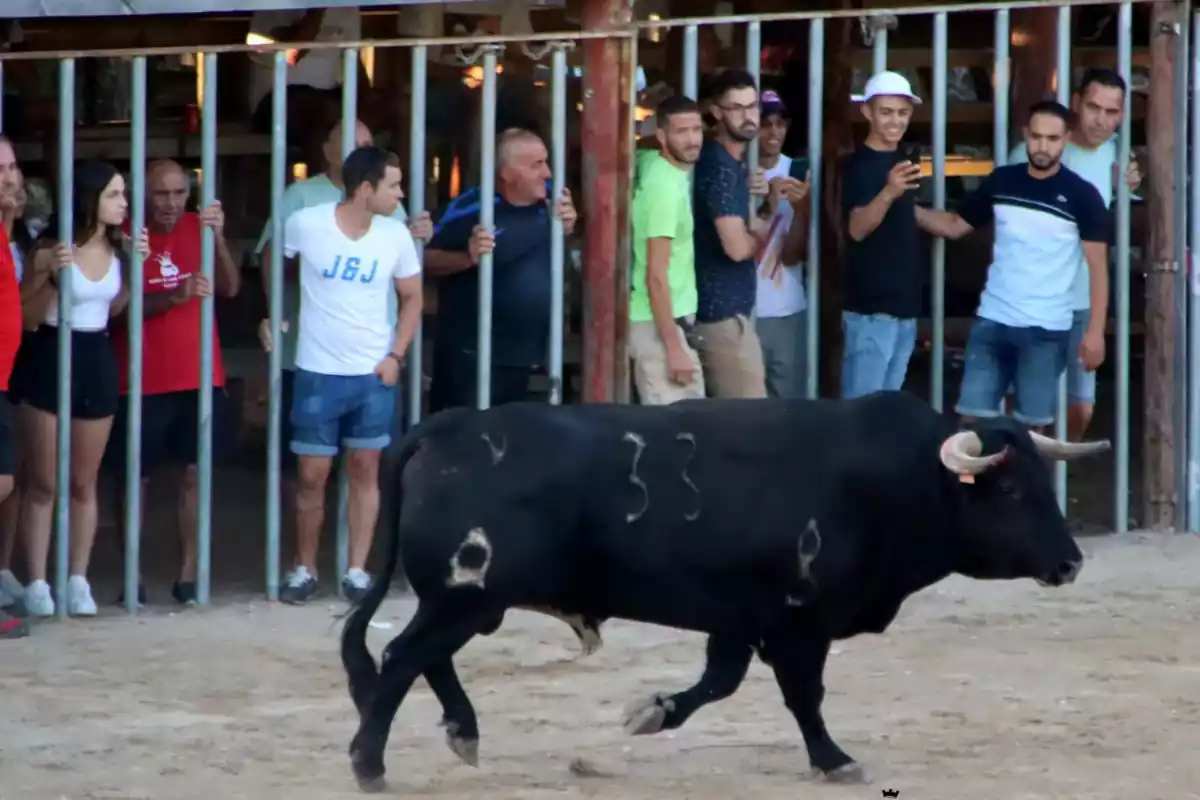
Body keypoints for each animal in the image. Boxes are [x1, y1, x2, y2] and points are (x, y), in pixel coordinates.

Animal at [338, 391, 1104, 791]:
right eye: (1010, 490)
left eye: (1043, 481)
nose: (1070, 563)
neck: (889, 478)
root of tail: (446, 426)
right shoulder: (799, 622)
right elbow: (803, 696)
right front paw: (834, 759)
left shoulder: (737, 617)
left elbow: (719, 681)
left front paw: (651, 712)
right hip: (465, 597)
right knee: (404, 657)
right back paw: (370, 763)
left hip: (468, 601)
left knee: (423, 657)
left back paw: (461, 732)